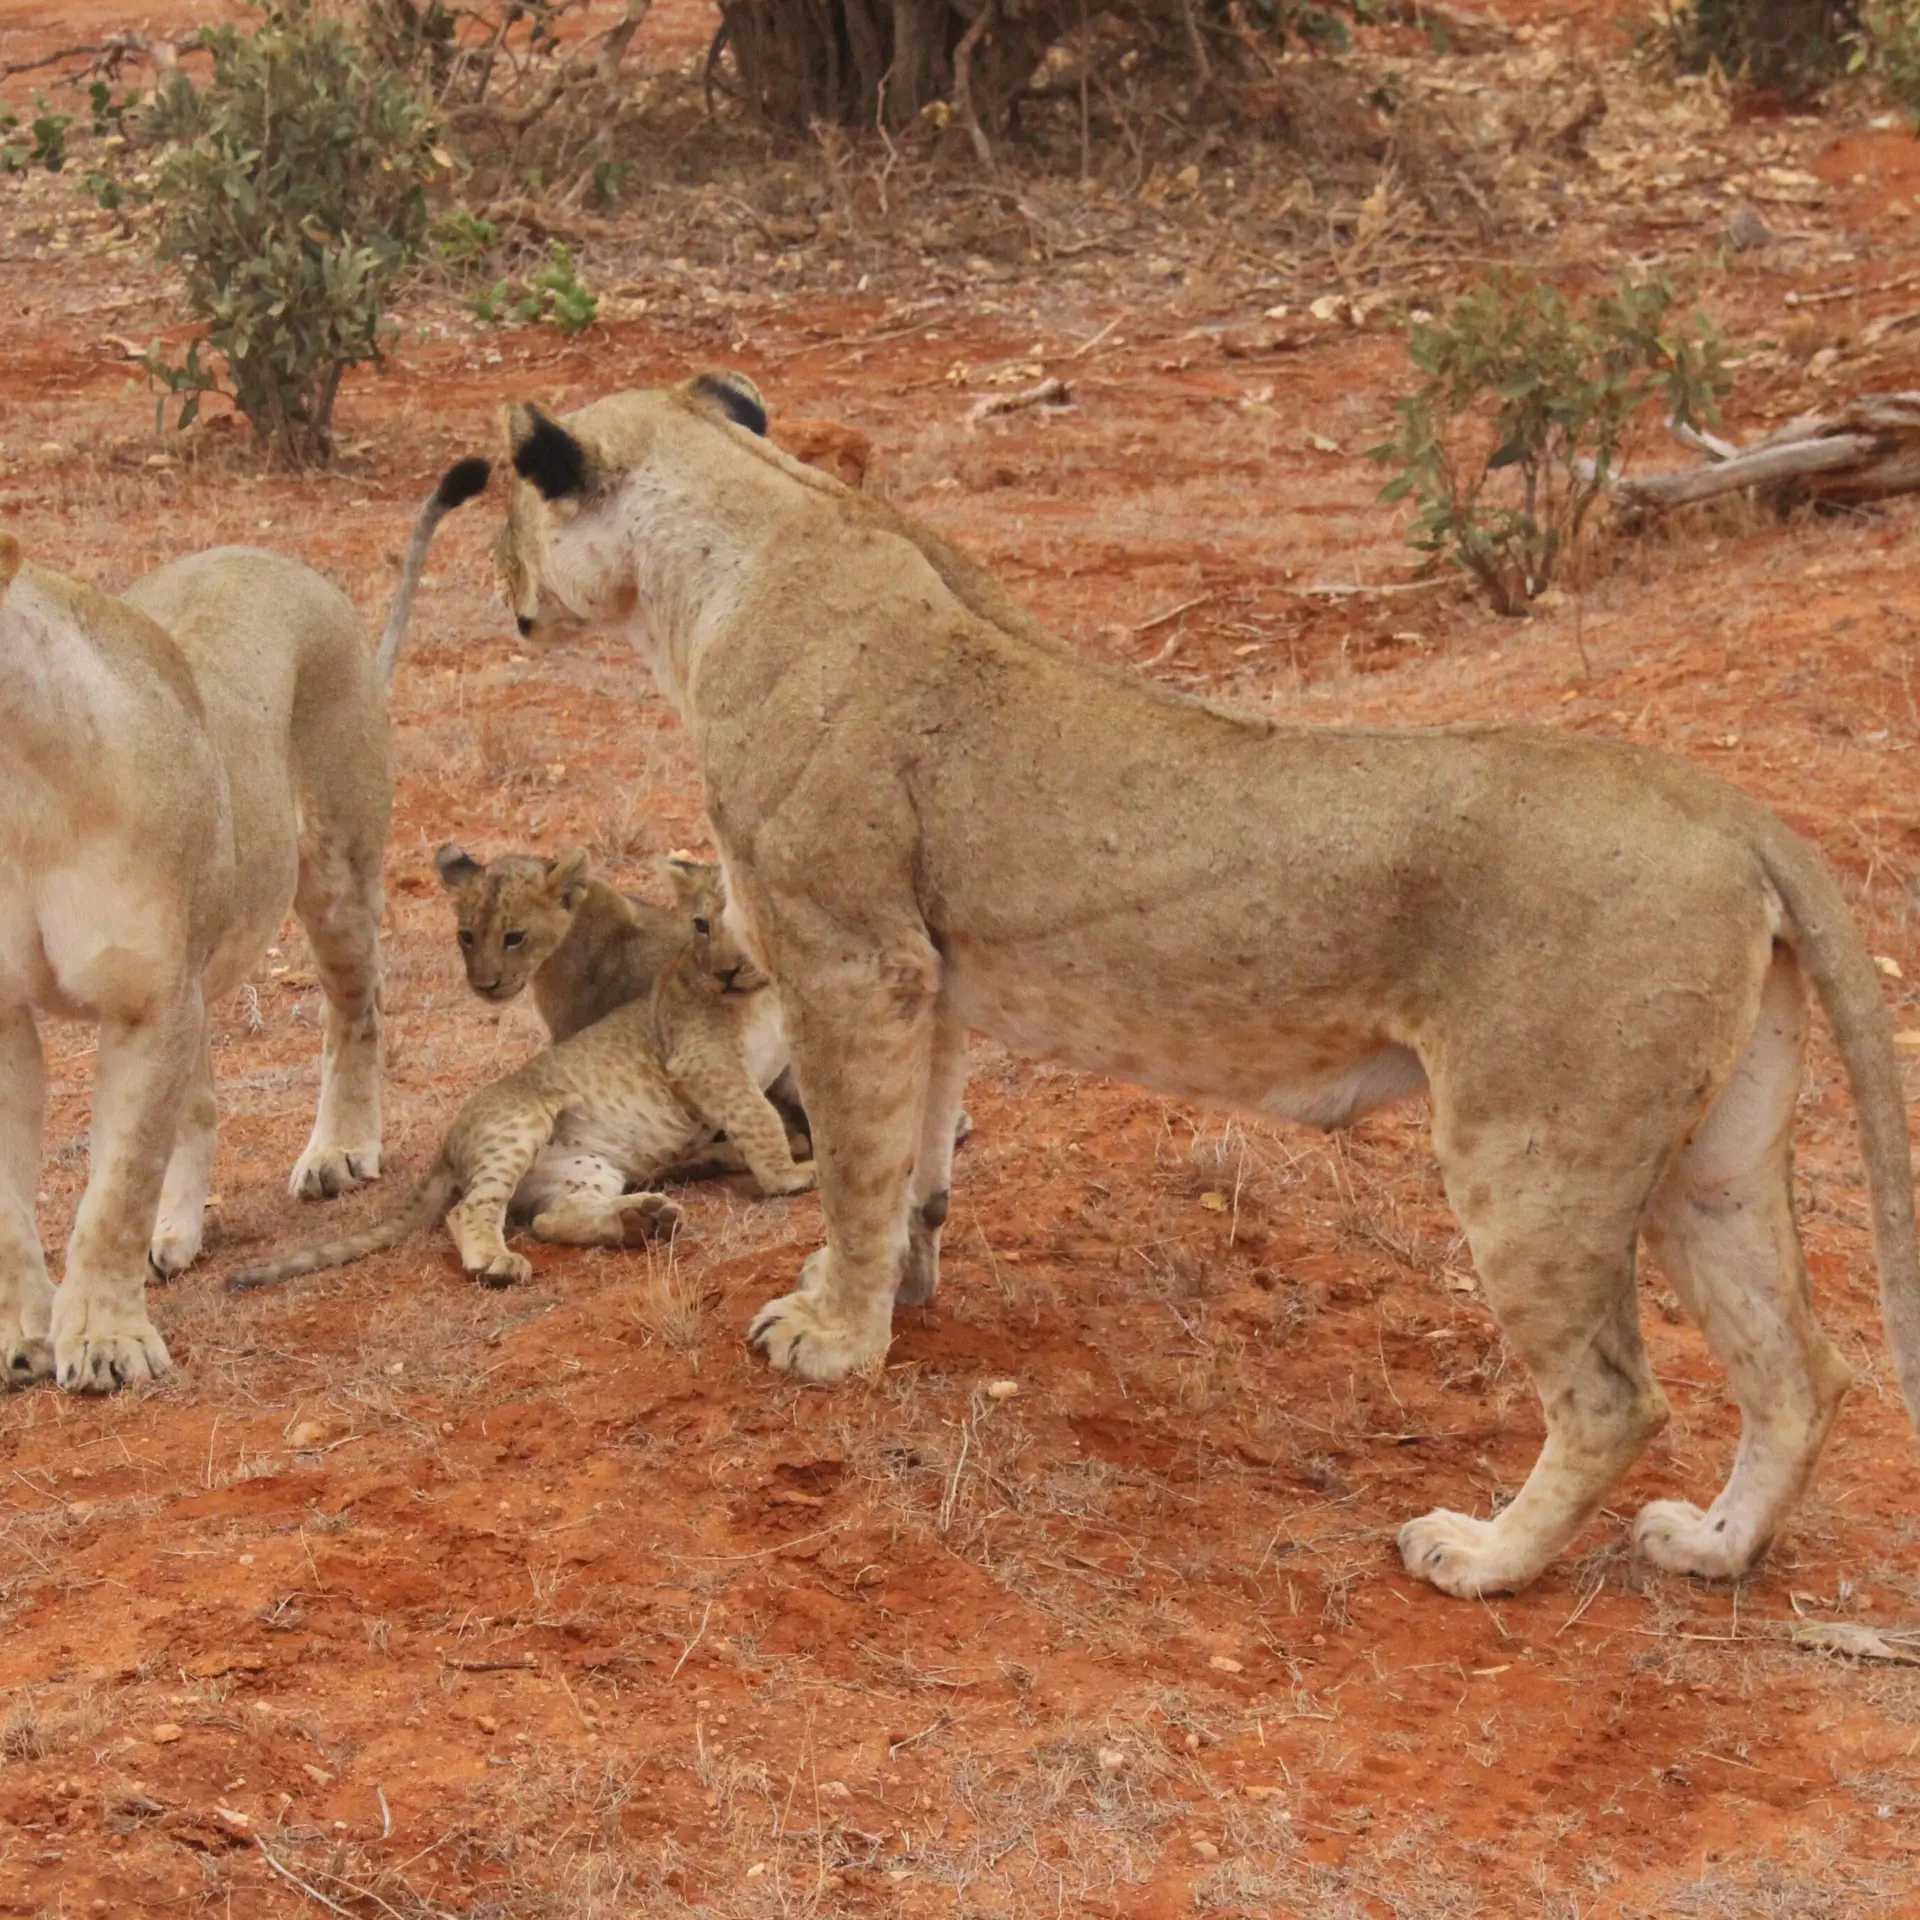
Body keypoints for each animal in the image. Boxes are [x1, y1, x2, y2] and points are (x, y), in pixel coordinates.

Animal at [0, 459, 486, 1391]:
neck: (20, 795)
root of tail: (285, 564)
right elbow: (17, 1205)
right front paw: (25, 1337)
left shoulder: (149, 997)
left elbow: (113, 1193)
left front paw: (106, 1340)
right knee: (199, 1100)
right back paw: (176, 1233)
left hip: (333, 876)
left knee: (358, 1010)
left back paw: (338, 1151)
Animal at [481, 373, 1918, 1600]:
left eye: (501, 509)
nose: (508, 595)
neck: (739, 546)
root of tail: (1731, 811)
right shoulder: (922, 973)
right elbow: (913, 1166)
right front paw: (898, 1294)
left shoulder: (845, 951)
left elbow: (849, 1163)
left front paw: (829, 1339)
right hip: (1709, 1159)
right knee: (1807, 1370)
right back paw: (1712, 1548)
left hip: (1537, 1148)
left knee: (1619, 1396)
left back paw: (1479, 1557)